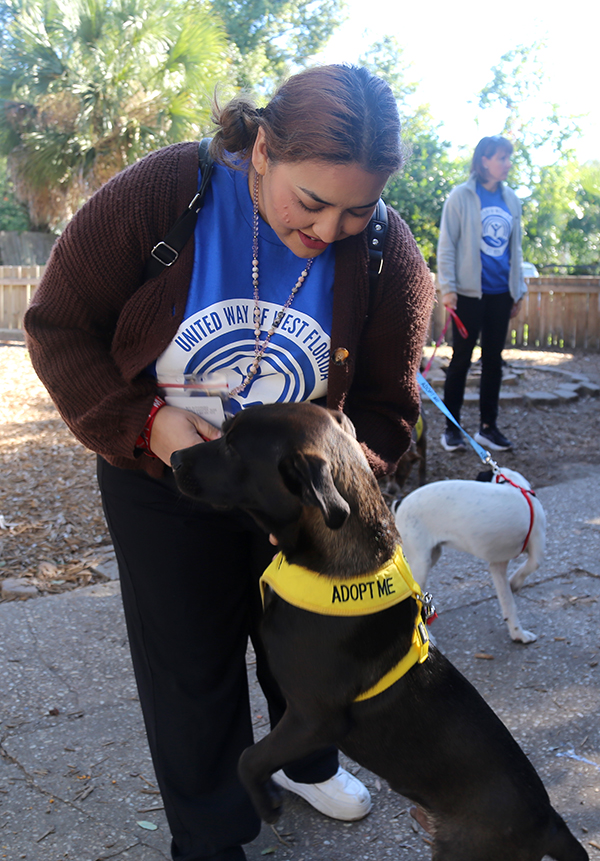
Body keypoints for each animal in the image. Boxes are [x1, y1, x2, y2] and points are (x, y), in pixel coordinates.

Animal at [396, 466, 548, 640]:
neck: (515, 486)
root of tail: (400, 504)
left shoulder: (497, 567)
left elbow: (508, 603)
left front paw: (517, 634)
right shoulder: (536, 547)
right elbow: (532, 565)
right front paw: (515, 583)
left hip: (430, 556)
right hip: (421, 564)